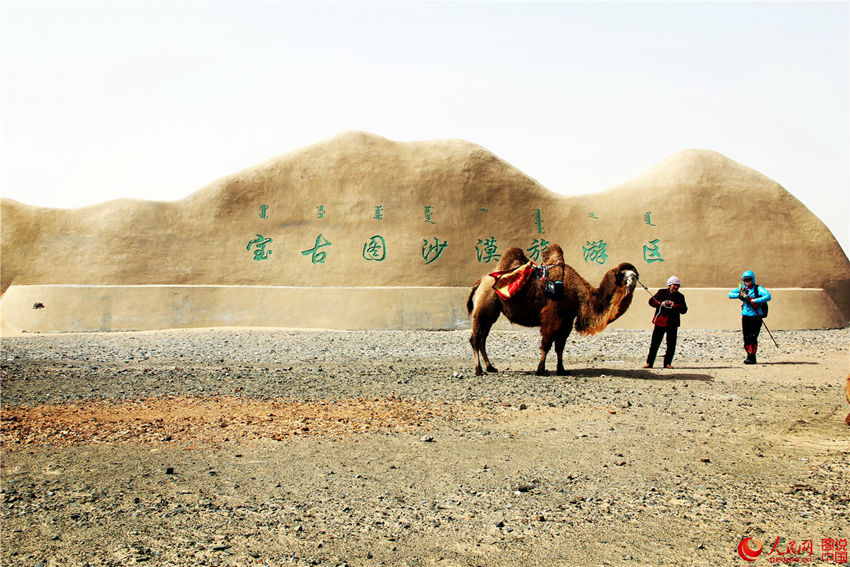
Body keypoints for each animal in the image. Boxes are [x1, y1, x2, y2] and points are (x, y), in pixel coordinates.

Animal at [464, 244, 636, 378]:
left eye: (634, 274)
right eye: (622, 274)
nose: (634, 278)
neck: (578, 293)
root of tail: (479, 282)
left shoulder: (567, 320)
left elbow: (560, 346)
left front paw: (562, 370)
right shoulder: (553, 316)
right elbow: (546, 344)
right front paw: (541, 370)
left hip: (491, 313)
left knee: (482, 339)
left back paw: (490, 367)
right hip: (484, 308)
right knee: (475, 339)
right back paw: (478, 370)